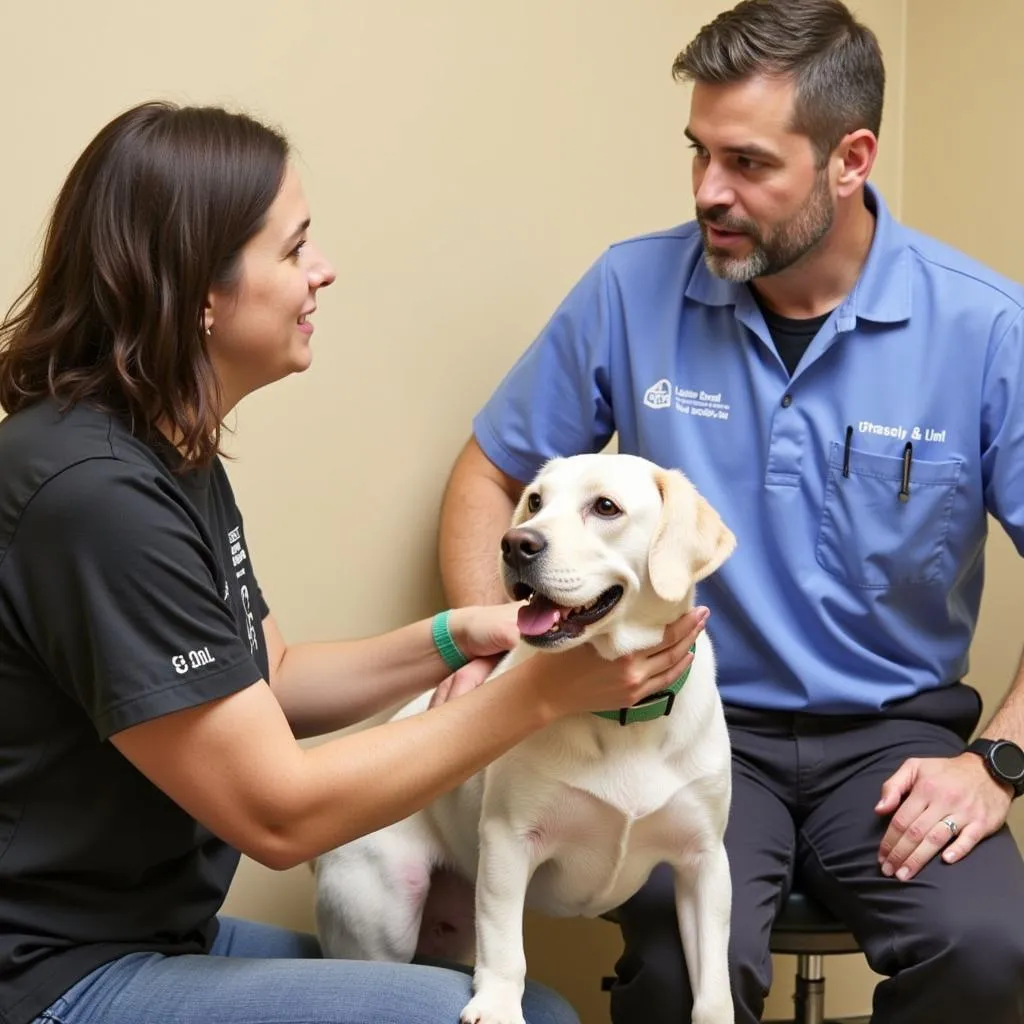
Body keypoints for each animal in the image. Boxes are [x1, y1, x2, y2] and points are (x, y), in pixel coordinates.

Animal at [311, 456, 737, 1024]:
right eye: (535, 501)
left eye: (606, 507)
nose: (515, 543)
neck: (624, 721)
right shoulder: (508, 840)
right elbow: (505, 946)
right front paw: (496, 1006)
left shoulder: (705, 862)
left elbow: (712, 986)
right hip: (383, 916)